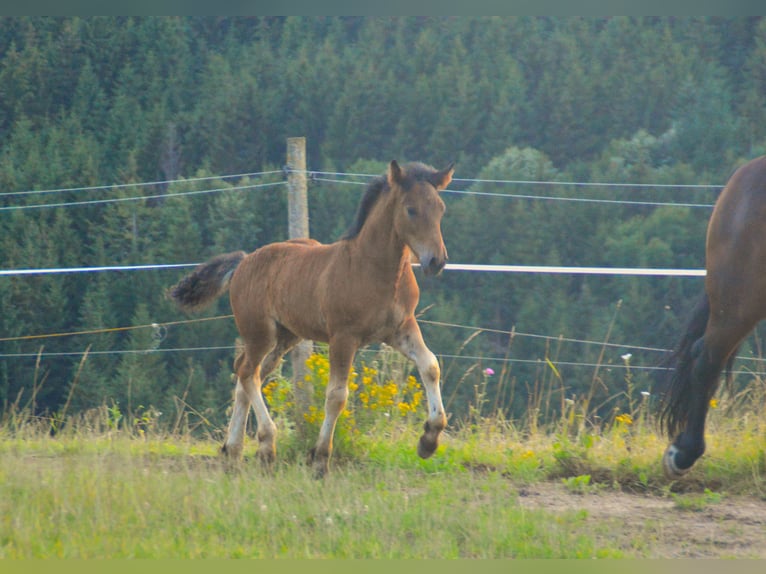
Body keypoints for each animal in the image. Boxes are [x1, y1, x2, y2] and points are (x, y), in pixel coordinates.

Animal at [170, 161, 456, 476]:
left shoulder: (401, 328)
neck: (375, 269)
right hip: (260, 333)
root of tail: (243, 262)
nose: (436, 261)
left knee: (246, 373)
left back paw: (233, 450)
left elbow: (430, 366)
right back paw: (266, 445)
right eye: (411, 209)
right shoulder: (343, 337)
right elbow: (336, 395)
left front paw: (429, 440)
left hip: (285, 338)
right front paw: (319, 459)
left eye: (441, 208)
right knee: (248, 373)